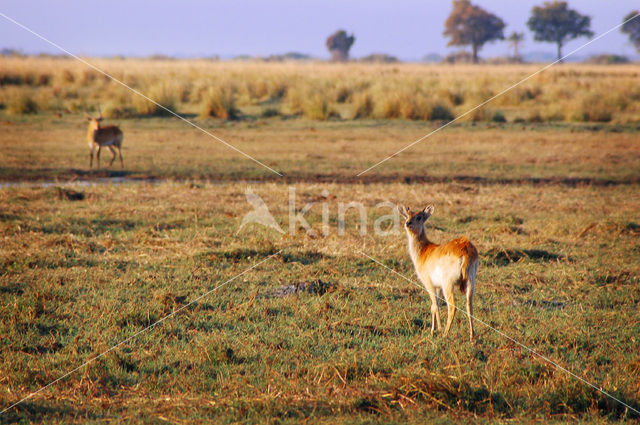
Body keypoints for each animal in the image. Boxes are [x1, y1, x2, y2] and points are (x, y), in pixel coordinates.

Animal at [398, 204, 478, 340]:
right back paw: (472, 337)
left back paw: (445, 333)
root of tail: (466, 250)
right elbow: (438, 306)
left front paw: (435, 330)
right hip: (471, 281)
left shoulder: (429, 283)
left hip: (448, 284)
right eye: (407, 215)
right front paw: (433, 329)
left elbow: (434, 306)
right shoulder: (439, 286)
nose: (407, 223)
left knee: (452, 306)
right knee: (469, 306)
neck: (423, 251)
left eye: (419, 216)